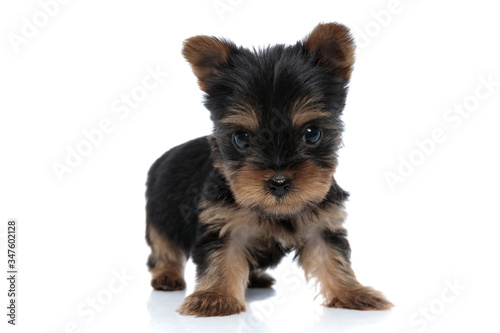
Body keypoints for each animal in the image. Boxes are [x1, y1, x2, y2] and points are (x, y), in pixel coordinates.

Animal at [143, 22, 392, 316]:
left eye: (312, 134)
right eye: (241, 138)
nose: (279, 182)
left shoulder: (322, 221)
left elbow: (332, 257)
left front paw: (353, 293)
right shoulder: (222, 221)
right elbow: (222, 256)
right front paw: (215, 298)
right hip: (160, 214)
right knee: (163, 247)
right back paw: (167, 275)